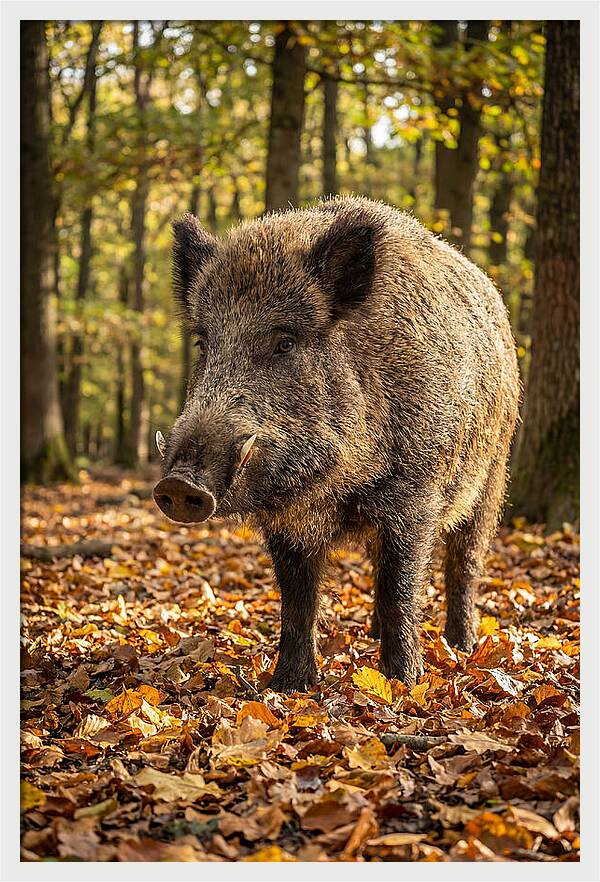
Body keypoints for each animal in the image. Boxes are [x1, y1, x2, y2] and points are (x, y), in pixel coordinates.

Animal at [153, 196, 520, 692]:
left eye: (285, 342)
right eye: (203, 343)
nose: (178, 485)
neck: (334, 487)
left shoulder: (415, 495)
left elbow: (401, 587)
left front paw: (402, 684)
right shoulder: (287, 523)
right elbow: (297, 598)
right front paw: (288, 686)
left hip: (492, 475)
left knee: (465, 563)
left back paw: (460, 646)